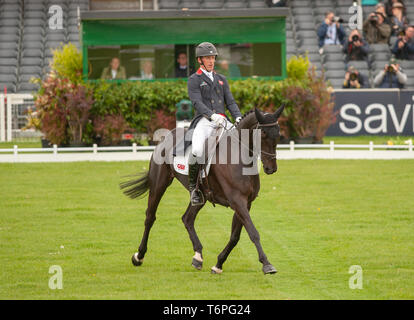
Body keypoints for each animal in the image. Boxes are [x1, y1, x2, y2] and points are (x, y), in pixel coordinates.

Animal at [121, 106, 284, 274]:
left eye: (278, 134)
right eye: (263, 134)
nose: (271, 168)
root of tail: (166, 137)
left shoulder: (246, 203)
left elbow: (235, 236)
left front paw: (218, 264)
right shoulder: (237, 201)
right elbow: (253, 232)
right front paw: (267, 264)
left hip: (201, 196)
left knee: (187, 218)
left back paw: (198, 256)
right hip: (159, 185)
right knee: (150, 217)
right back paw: (139, 256)